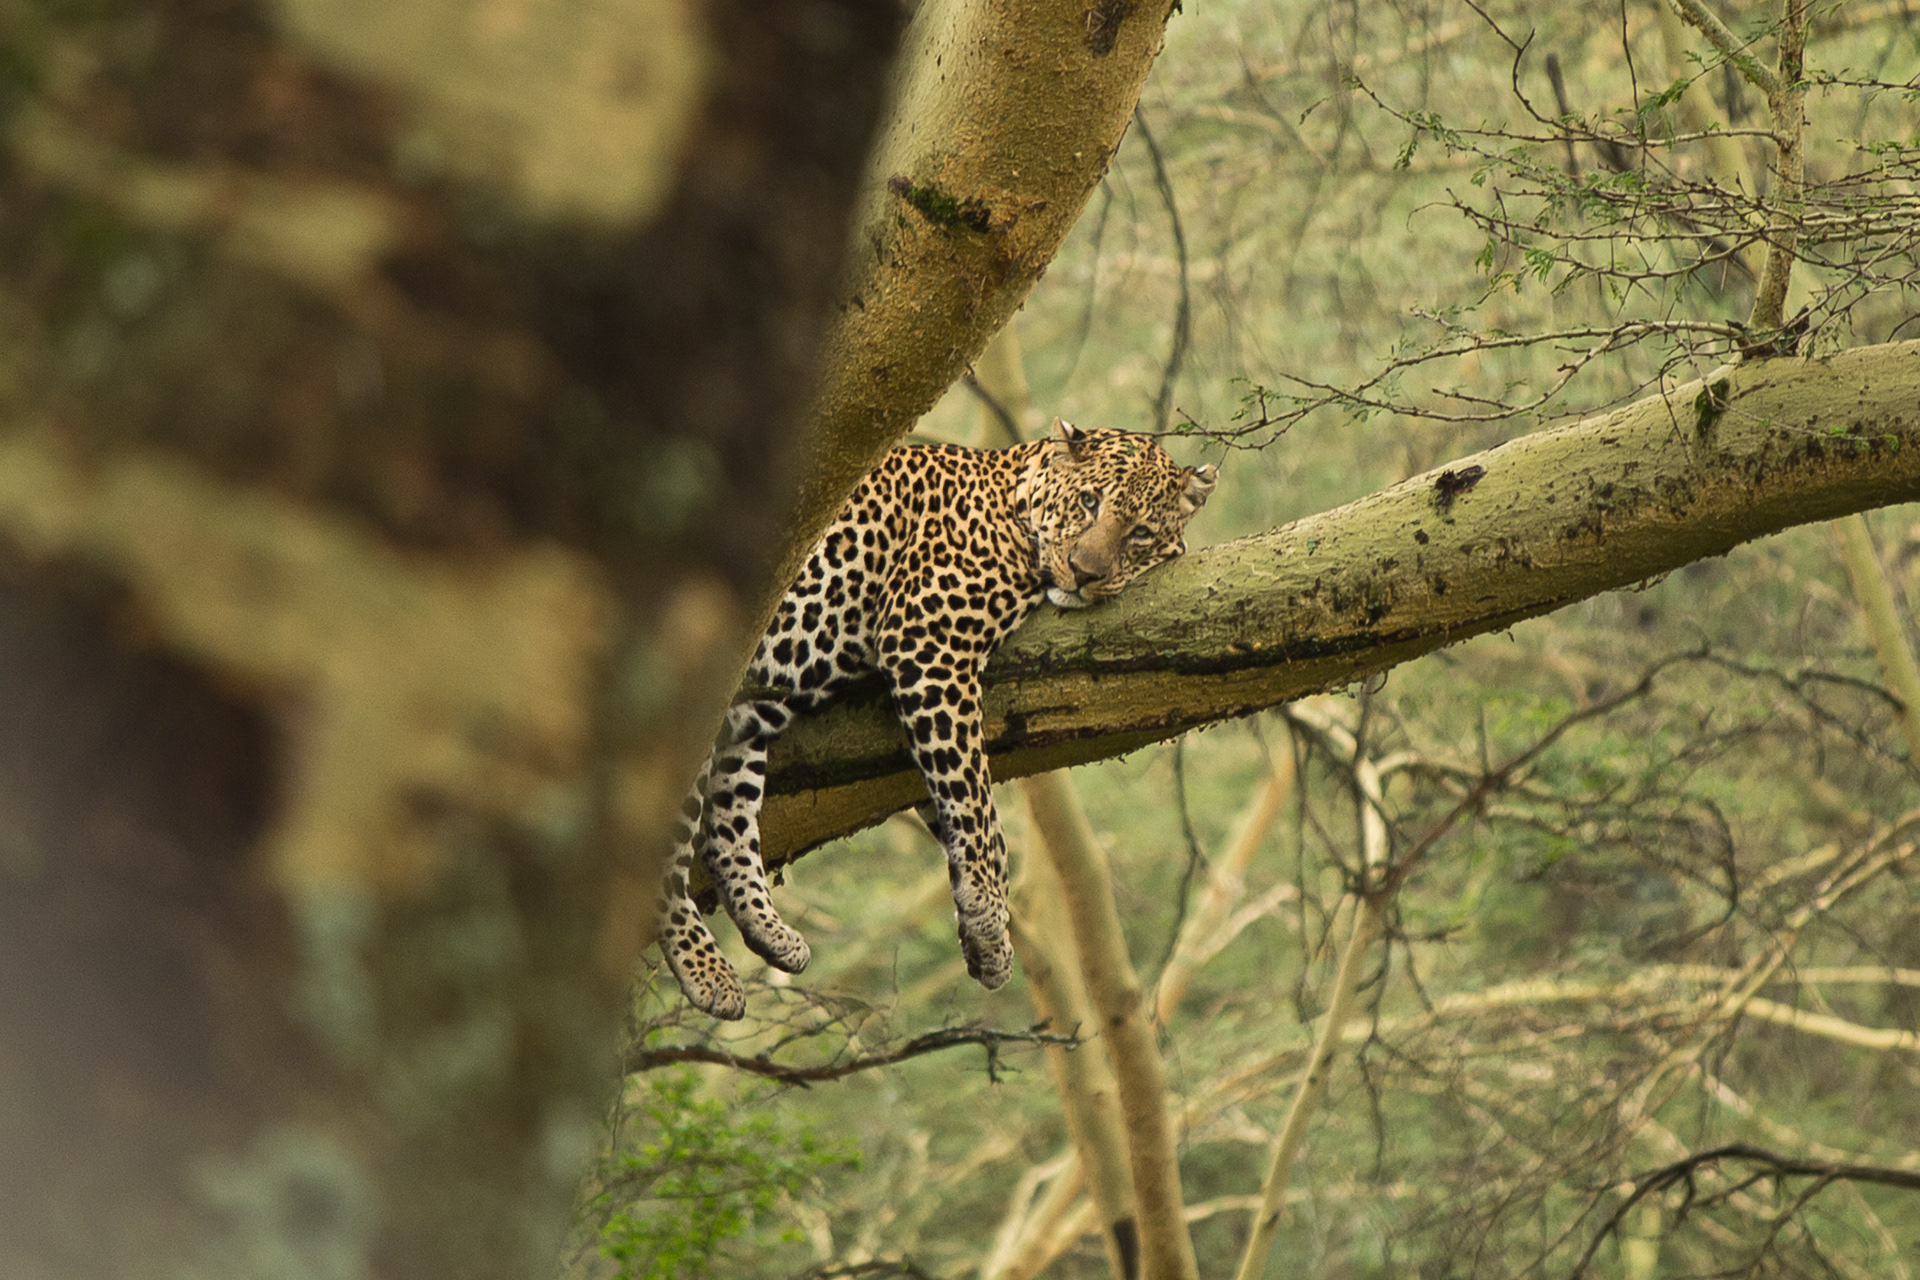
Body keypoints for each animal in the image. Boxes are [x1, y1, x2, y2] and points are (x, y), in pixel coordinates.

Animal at [657, 419, 1218, 1019]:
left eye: (1140, 532)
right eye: (1089, 502)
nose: (1086, 573)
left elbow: (962, 808)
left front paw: (985, 938)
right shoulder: (929, 646)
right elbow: (976, 801)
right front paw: (989, 919)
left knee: (725, 829)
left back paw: (770, 933)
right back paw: (706, 970)